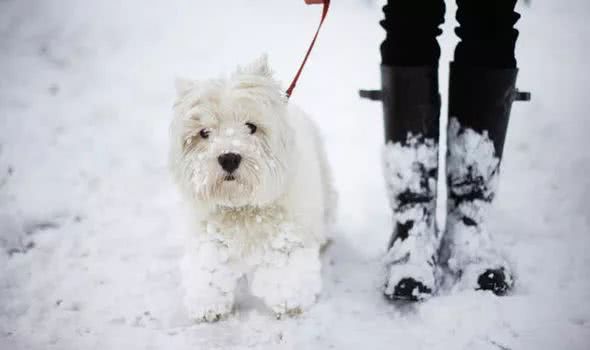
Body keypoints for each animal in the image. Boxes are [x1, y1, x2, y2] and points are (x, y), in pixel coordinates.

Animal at [170, 55, 338, 322]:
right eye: (204, 132)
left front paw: (289, 303)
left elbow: (285, 270)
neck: (242, 207)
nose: (229, 158)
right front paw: (208, 305)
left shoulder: (286, 237)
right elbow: (208, 269)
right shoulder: (208, 236)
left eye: (251, 126)